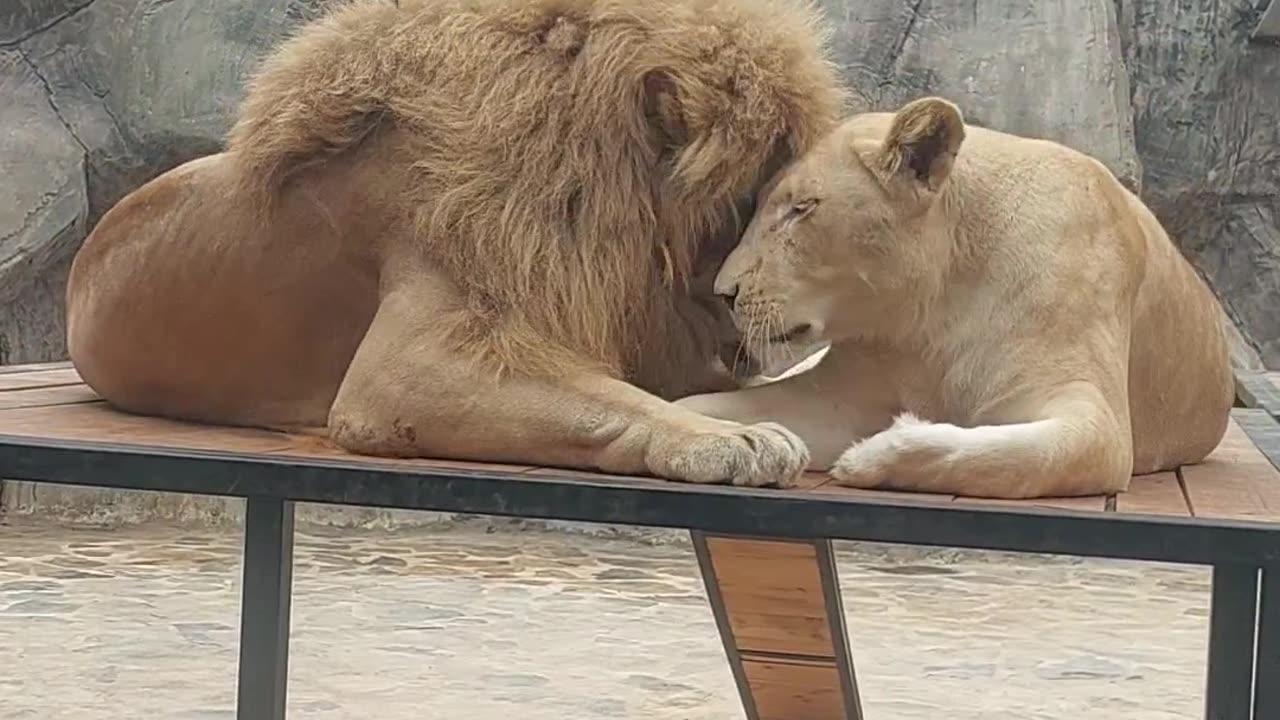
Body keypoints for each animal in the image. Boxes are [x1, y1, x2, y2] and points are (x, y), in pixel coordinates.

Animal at [680, 96, 1239, 499]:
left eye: (802, 208)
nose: (723, 292)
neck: (931, 316)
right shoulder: (837, 396)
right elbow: (698, 406)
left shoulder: (1096, 421)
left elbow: (1006, 456)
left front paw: (868, 456)